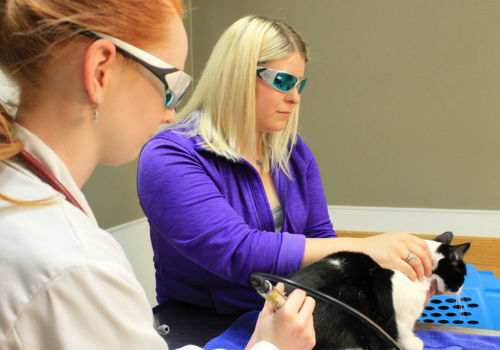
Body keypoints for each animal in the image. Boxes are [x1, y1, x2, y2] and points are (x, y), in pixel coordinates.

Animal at [288, 231, 470, 348]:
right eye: (462, 275)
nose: (461, 289)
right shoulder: (400, 316)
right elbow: (404, 333)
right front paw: (414, 343)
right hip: (348, 300)